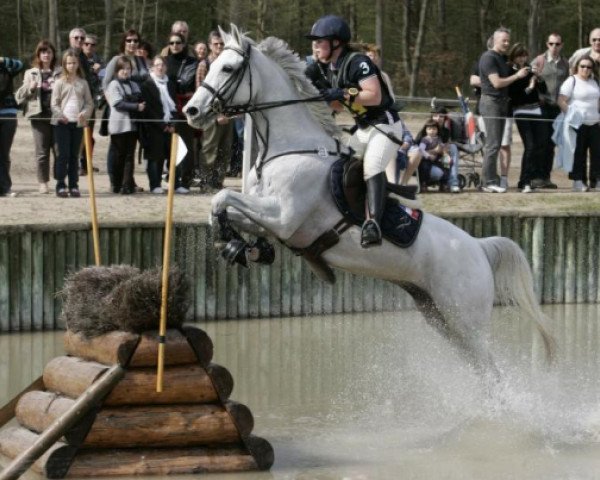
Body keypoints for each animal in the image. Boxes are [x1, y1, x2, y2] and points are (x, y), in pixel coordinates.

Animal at [185, 26, 556, 376]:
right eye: (211, 64)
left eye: (228, 68)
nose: (191, 110)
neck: (288, 147)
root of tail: (479, 247)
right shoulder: (272, 218)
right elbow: (222, 206)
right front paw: (241, 247)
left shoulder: (283, 217)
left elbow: (222, 197)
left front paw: (233, 243)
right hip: (441, 317)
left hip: (465, 320)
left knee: (492, 371)